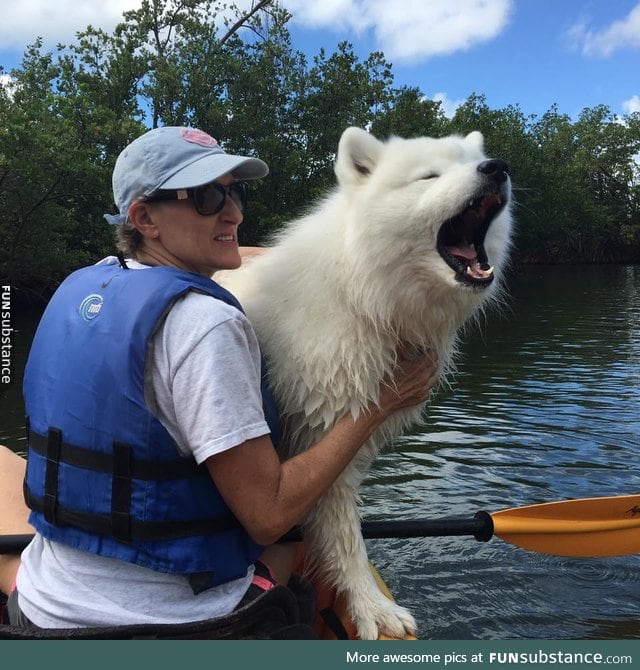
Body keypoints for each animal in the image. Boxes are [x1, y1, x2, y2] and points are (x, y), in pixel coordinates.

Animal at [219, 127, 510, 640]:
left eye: (471, 159)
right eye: (429, 176)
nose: (497, 168)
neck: (362, 293)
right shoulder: (325, 429)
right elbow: (345, 535)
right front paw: (374, 608)